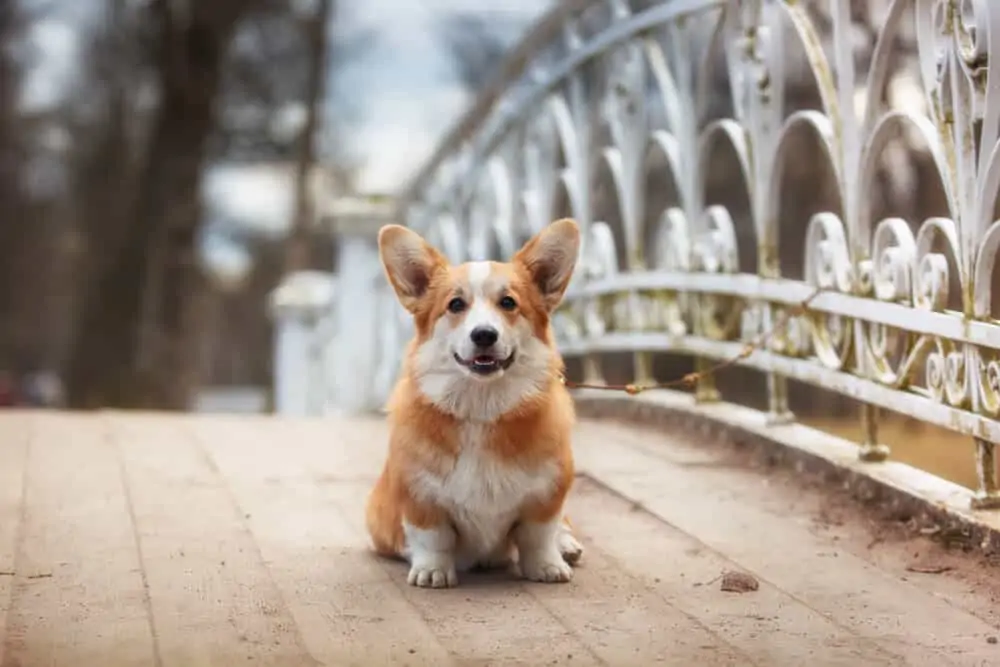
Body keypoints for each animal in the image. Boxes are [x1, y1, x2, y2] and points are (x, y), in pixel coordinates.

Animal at [366, 220, 584, 588]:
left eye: (508, 302)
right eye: (455, 305)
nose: (484, 334)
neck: (481, 407)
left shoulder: (548, 493)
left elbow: (539, 535)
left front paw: (547, 565)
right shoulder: (419, 496)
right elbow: (433, 538)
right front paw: (432, 570)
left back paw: (567, 545)